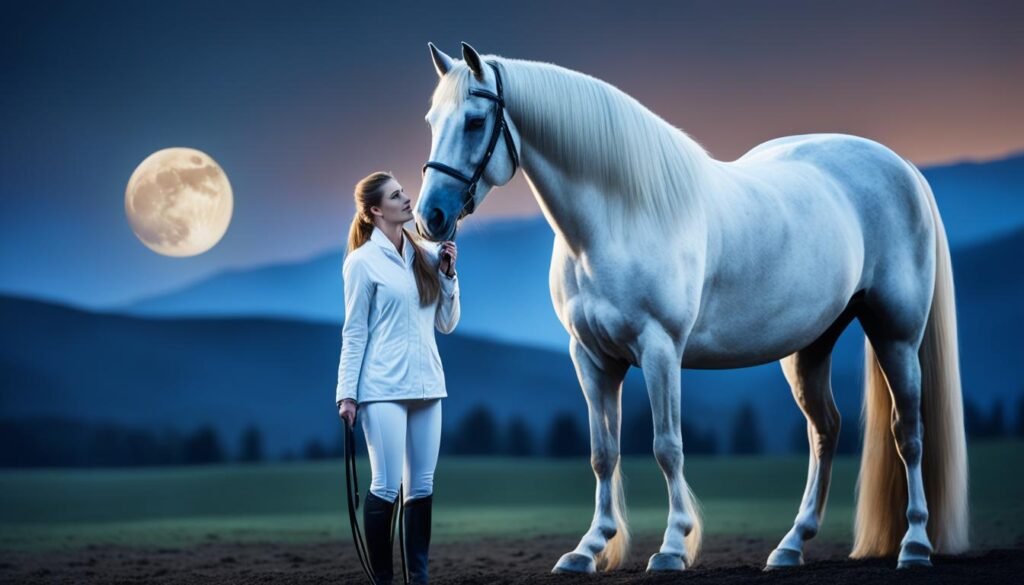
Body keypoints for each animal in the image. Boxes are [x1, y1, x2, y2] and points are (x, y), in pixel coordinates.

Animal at [414, 42, 969, 573]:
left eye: (475, 121)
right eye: (432, 121)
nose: (430, 217)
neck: (617, 219)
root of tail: (903, 168)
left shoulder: (660, 349)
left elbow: (667, 447)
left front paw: (673, 546)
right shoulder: (591, 358)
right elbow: (603, 453)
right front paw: (588, 549)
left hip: (896, 334)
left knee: (908, 432)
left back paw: (914, 544)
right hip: (811, 347)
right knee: (824, 431)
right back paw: (791, 546)